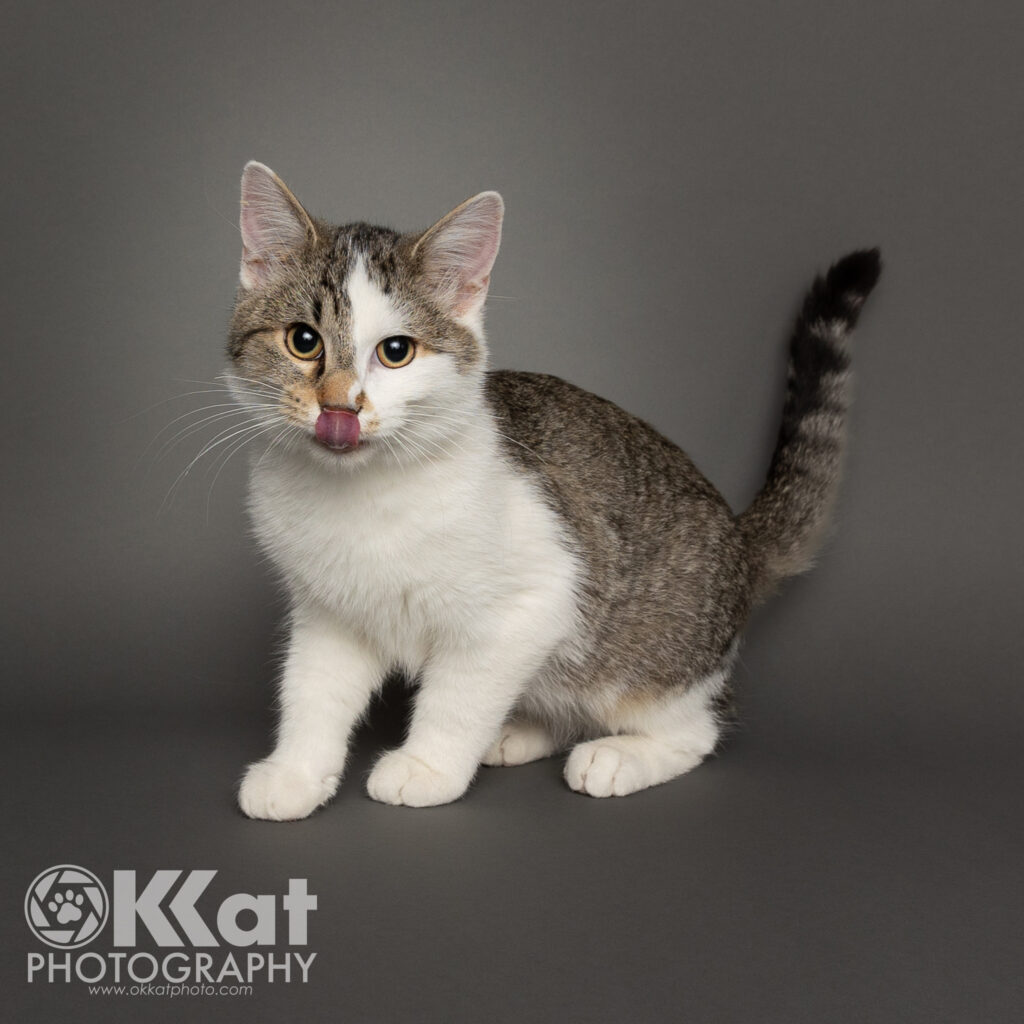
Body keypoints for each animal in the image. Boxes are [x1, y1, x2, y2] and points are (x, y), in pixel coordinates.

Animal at [230, 159, 880, 819]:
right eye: (303, 341)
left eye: (396, 352)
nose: (340, 409)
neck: (360, 494)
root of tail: (741, 543)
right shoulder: (329, 612)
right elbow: (313, 690)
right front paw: (296, 772)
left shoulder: (535, 598)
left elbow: (459, 695)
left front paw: (428, 766)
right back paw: (521, 731)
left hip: (647, 655)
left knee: (696, 729)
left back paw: (619, 755)